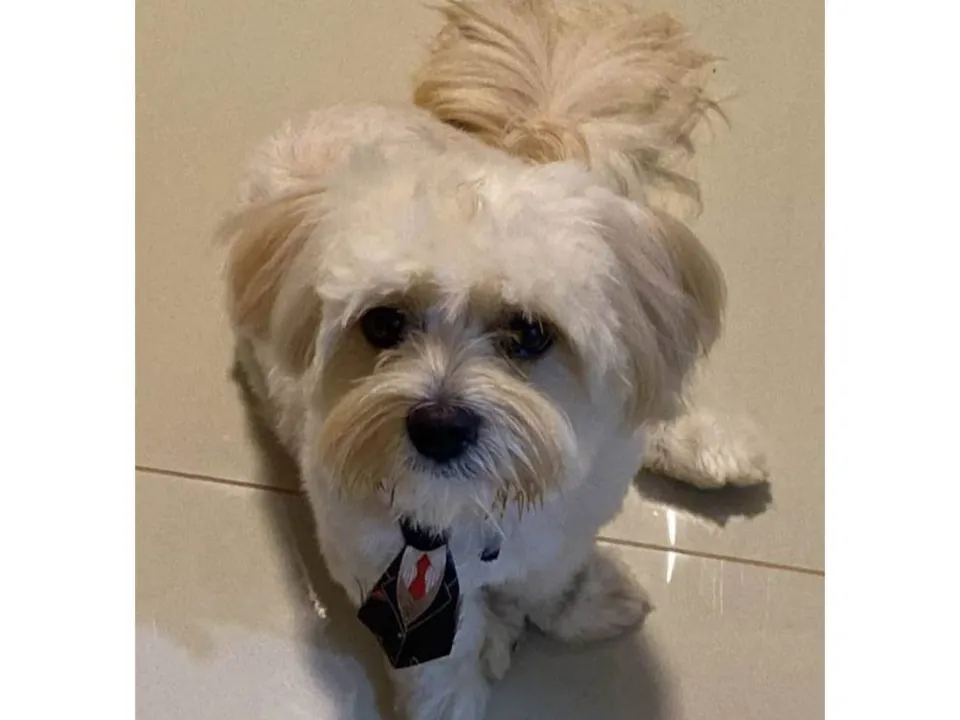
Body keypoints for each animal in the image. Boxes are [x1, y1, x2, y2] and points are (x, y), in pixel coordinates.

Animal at [219, 1, 768, 717]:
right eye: (382, 323)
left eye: (530, 333)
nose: (439, 427)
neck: (482, 503)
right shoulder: (373, 557)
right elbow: (444, 650)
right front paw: (457, 690)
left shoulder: (573, 515)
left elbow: (552, 577)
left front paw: (580, 605)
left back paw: (705, 444)